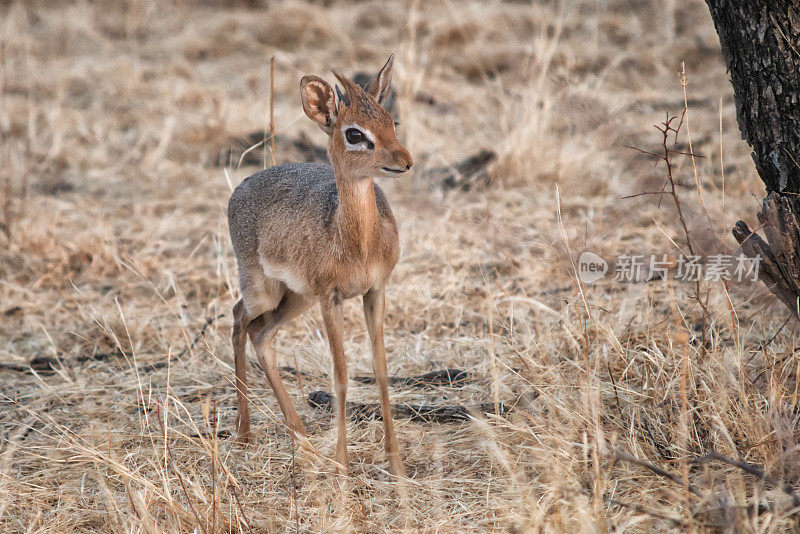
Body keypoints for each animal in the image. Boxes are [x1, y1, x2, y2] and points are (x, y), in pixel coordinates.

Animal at [227, 56, 410, 480]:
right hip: (264, 291)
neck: (357, 242)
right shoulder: (332, 298)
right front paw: (342, 464)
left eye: (390, 121)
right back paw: (245, 434)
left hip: (296, 298)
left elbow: (380, 369)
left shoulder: (375, 290)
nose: (405, 161)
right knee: (239, 318)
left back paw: (301, 438)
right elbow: (340, 374)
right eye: (355, 133)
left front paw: (395, 463)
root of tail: (241, 186)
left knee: (262, 336)